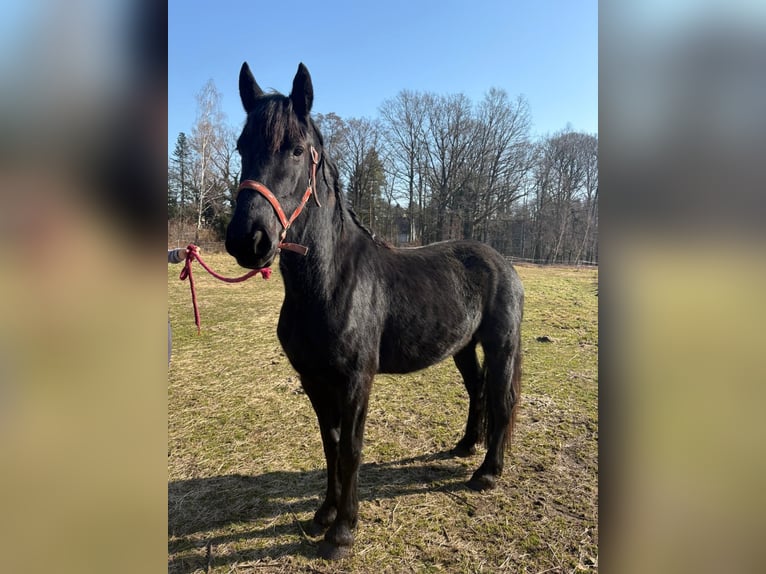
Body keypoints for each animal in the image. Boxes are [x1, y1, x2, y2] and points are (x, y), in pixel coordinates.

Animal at [225, 62, 524, 560]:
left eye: (296, 150)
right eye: (241, 146)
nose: (249, 239)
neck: (330, 284)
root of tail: (503, 261)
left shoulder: (355, 380)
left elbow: (351, 448)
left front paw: (343, 531)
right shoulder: (314, 379)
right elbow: (329, 445)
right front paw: (324, 514)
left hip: (502, 345)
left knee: (501, 400)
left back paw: (486, 472)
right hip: (463, 348)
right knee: (477, 390)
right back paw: (464, 447)